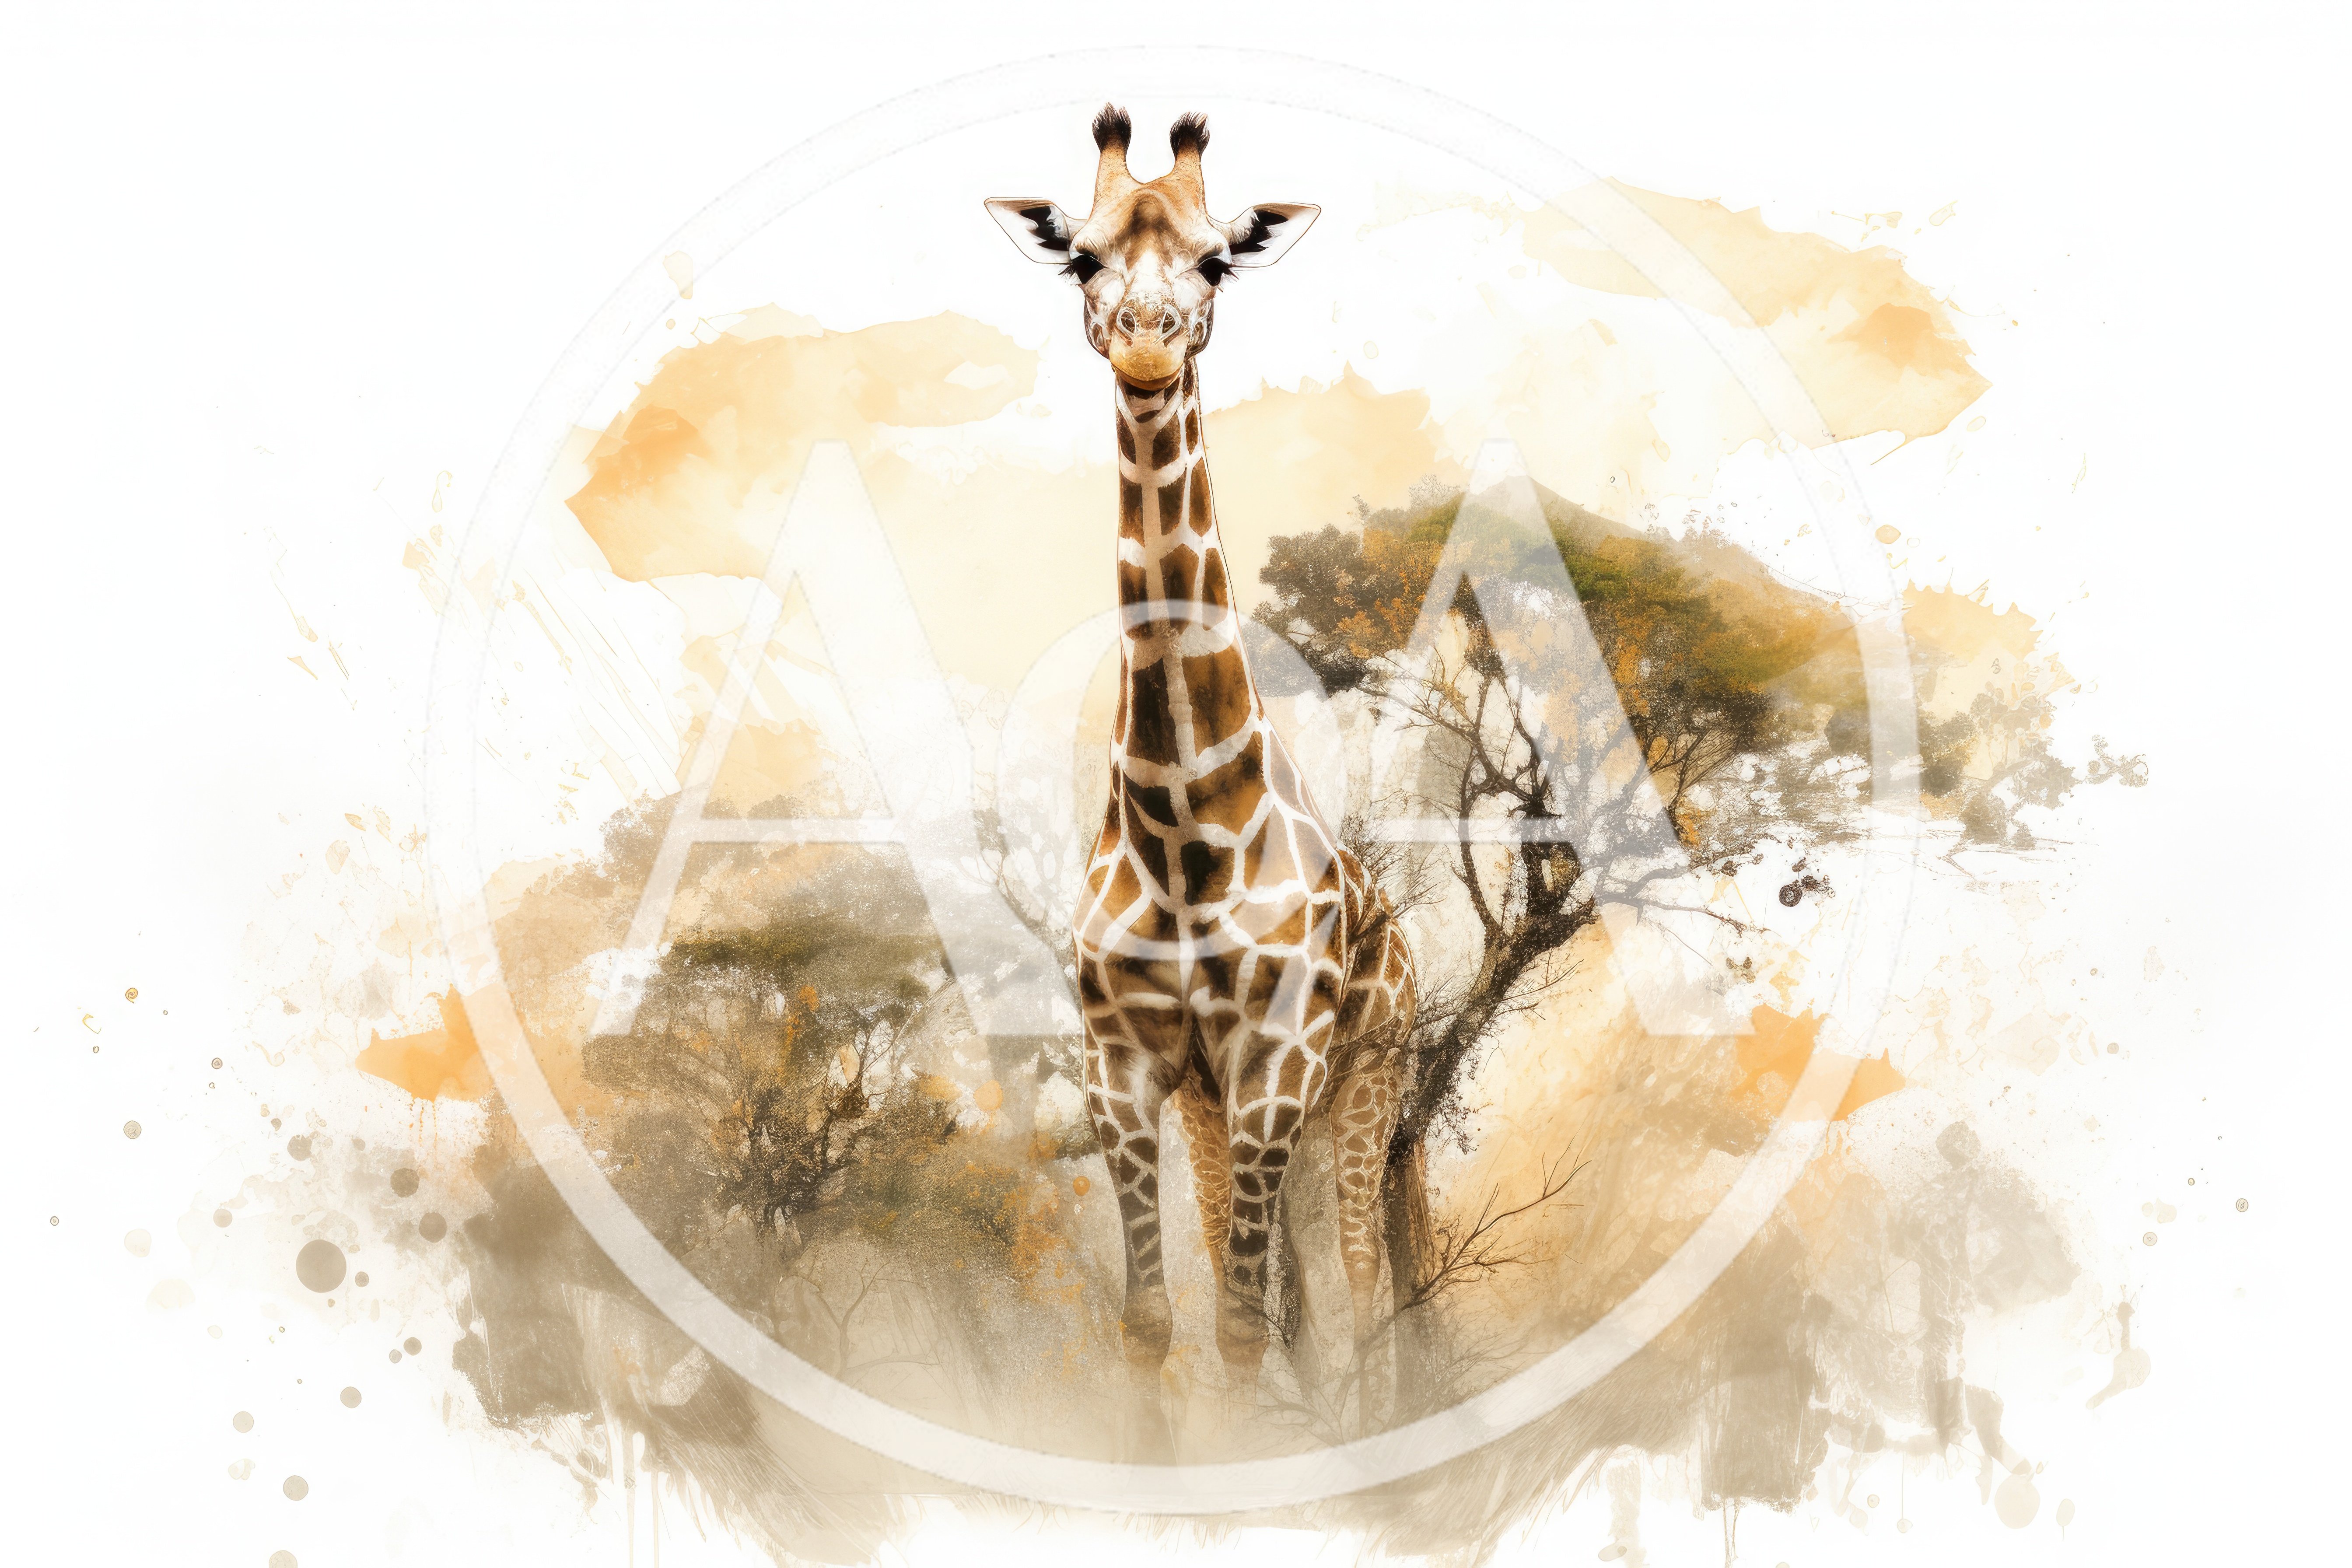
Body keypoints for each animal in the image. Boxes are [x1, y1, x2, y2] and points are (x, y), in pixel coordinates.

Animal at [987, 107, 1417, 1422]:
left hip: (1365, 1084)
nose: (1142, 345)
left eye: (1218, 261)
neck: (1185, 826)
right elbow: (1154, 1321)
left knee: (1364, 1297)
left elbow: (1237, 1324)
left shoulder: (1280, 1061)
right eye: (1080, 259)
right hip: (1220, 1106)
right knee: (1308, 1302)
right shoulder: (1129, 1067)